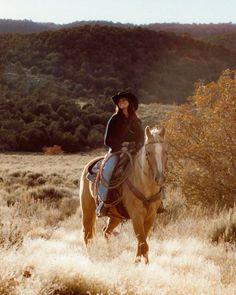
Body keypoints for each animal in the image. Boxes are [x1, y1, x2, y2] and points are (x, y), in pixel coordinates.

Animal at [79, 126, 168, 264]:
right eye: (148, 153)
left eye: (165, 152)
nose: (160, 178)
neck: (143, 183)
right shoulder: (136, 216)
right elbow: (143, 243)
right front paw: (141, 264)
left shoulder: (151, 216)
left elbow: (142, 242)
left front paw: (140, 263)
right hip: (88, 211)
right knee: (87, 234)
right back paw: (91, 257)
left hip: (115, 216)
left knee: (106, 231)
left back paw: (109, 254)